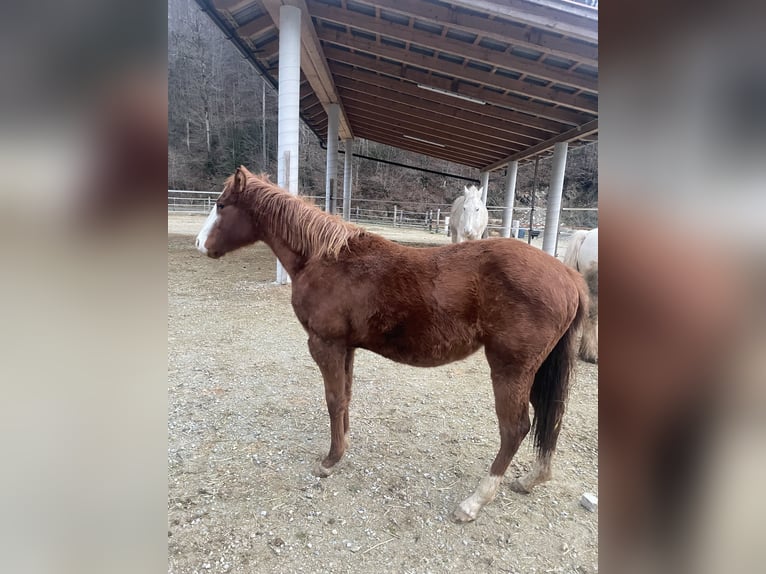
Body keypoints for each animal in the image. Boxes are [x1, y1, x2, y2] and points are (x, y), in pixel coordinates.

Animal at [196, 169, 588, 524]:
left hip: (510, 368)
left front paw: (330, 461)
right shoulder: (346, 348)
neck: (325, 259)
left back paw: (474, 502)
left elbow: (333, 399)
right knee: (551, 416)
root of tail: (569, 276)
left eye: (221, 204)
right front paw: (343, 445)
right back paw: (532, 479)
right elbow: (345, 397)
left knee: (515, 428)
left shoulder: (325, 345)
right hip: (537, 370)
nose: (200, 244)